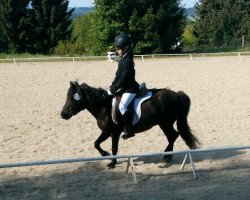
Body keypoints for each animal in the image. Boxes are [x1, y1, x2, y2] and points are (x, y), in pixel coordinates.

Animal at [61, 81, 200, 167]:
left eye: (72, 98)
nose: (63, 114)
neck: (103, 107)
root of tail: (176, 94)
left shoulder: (115, 132)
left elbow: (114, 147)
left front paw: (112, 163)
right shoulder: (106, 131)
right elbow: (96, 143)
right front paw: (105, 154)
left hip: (164, 123)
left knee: (173, 135)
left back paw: (167, 156)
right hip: (165, 123)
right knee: (173, 136)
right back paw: (168, 156)